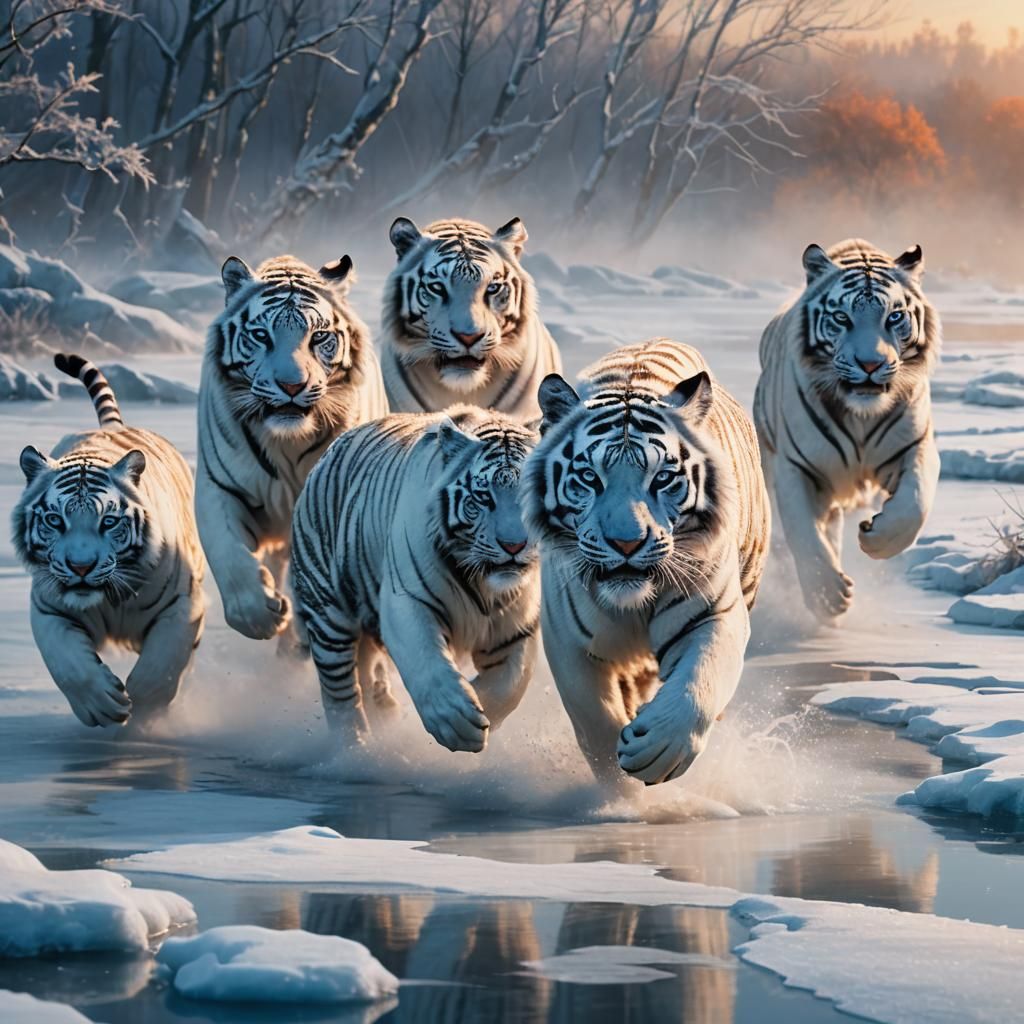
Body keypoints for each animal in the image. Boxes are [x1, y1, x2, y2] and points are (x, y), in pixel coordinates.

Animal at [12, 354, 205, 727]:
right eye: (55, 520)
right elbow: (68, 663)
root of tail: (112, 427)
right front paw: (102, 705)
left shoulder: (182, 603)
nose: (81, 567)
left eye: (109, 521)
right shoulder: (50, 608)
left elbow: (162, 663)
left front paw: (146, 712)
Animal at [196, 252, 387, 643]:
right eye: (261, 335)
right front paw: (258, 616)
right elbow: (227, 550)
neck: (286, 442)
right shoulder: (219, 486)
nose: (291, 386)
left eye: (319, 337)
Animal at [291, 406, 539, 753]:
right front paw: (457, 723)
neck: (484, 585)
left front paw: (482, 707)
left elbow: (512, 683)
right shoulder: (407, 602)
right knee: (339, 690)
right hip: (328, 611)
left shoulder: (515, 626)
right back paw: (354, 748)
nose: (514, 546)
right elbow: (427, 664)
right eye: (483, 497)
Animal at [523, 340, 770, 788]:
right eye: (589, 478)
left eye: (662, 478)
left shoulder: (714, 613)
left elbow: (698, 684)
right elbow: (595, 721)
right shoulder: (570, 641)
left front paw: (658, 751)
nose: (626, 542)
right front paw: (623, 793)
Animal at [752, 239, 941, 622]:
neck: (861, 416)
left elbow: (915, 503)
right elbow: (803, 533)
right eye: (842, 318)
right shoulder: (797, 467)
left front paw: (876, 538)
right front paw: (827, 597)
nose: (870, 364)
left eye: (894, 316)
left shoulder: (914, 447)